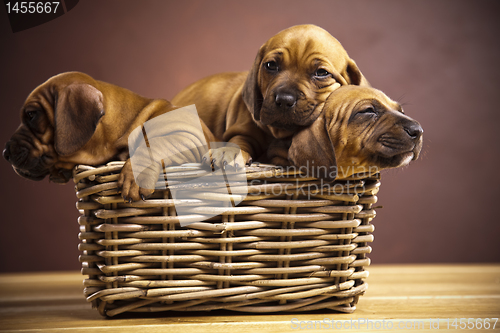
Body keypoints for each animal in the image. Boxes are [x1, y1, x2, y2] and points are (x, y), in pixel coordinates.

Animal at [172, 24, 368, 169]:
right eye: (271, 65)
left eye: (321, 73)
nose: (284, 100)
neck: (279, 134)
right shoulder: (242, 130)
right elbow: (238, 140)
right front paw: (228, 151)